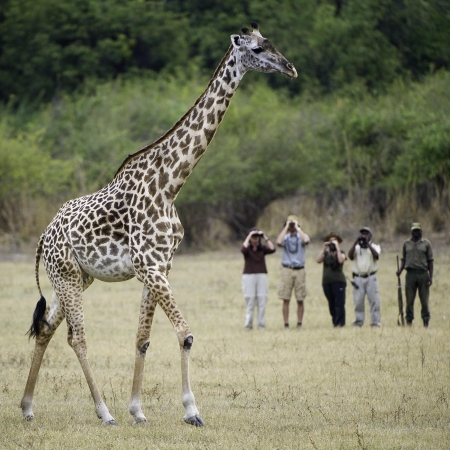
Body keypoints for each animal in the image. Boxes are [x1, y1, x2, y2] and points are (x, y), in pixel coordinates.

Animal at [21, 21, 298, 428]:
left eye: (270, 42)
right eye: (258, 50)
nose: (290, 68)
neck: (170, 184)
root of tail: (44, 235)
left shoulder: (160, 266)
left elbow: (143, 338)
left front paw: (138, 410)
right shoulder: (149, 266)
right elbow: (185, 334)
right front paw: (192, 411)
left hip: (75, 278)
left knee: (45, 328)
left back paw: (27, 407)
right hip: (68, 277)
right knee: (77, 338)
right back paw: (104, 413)